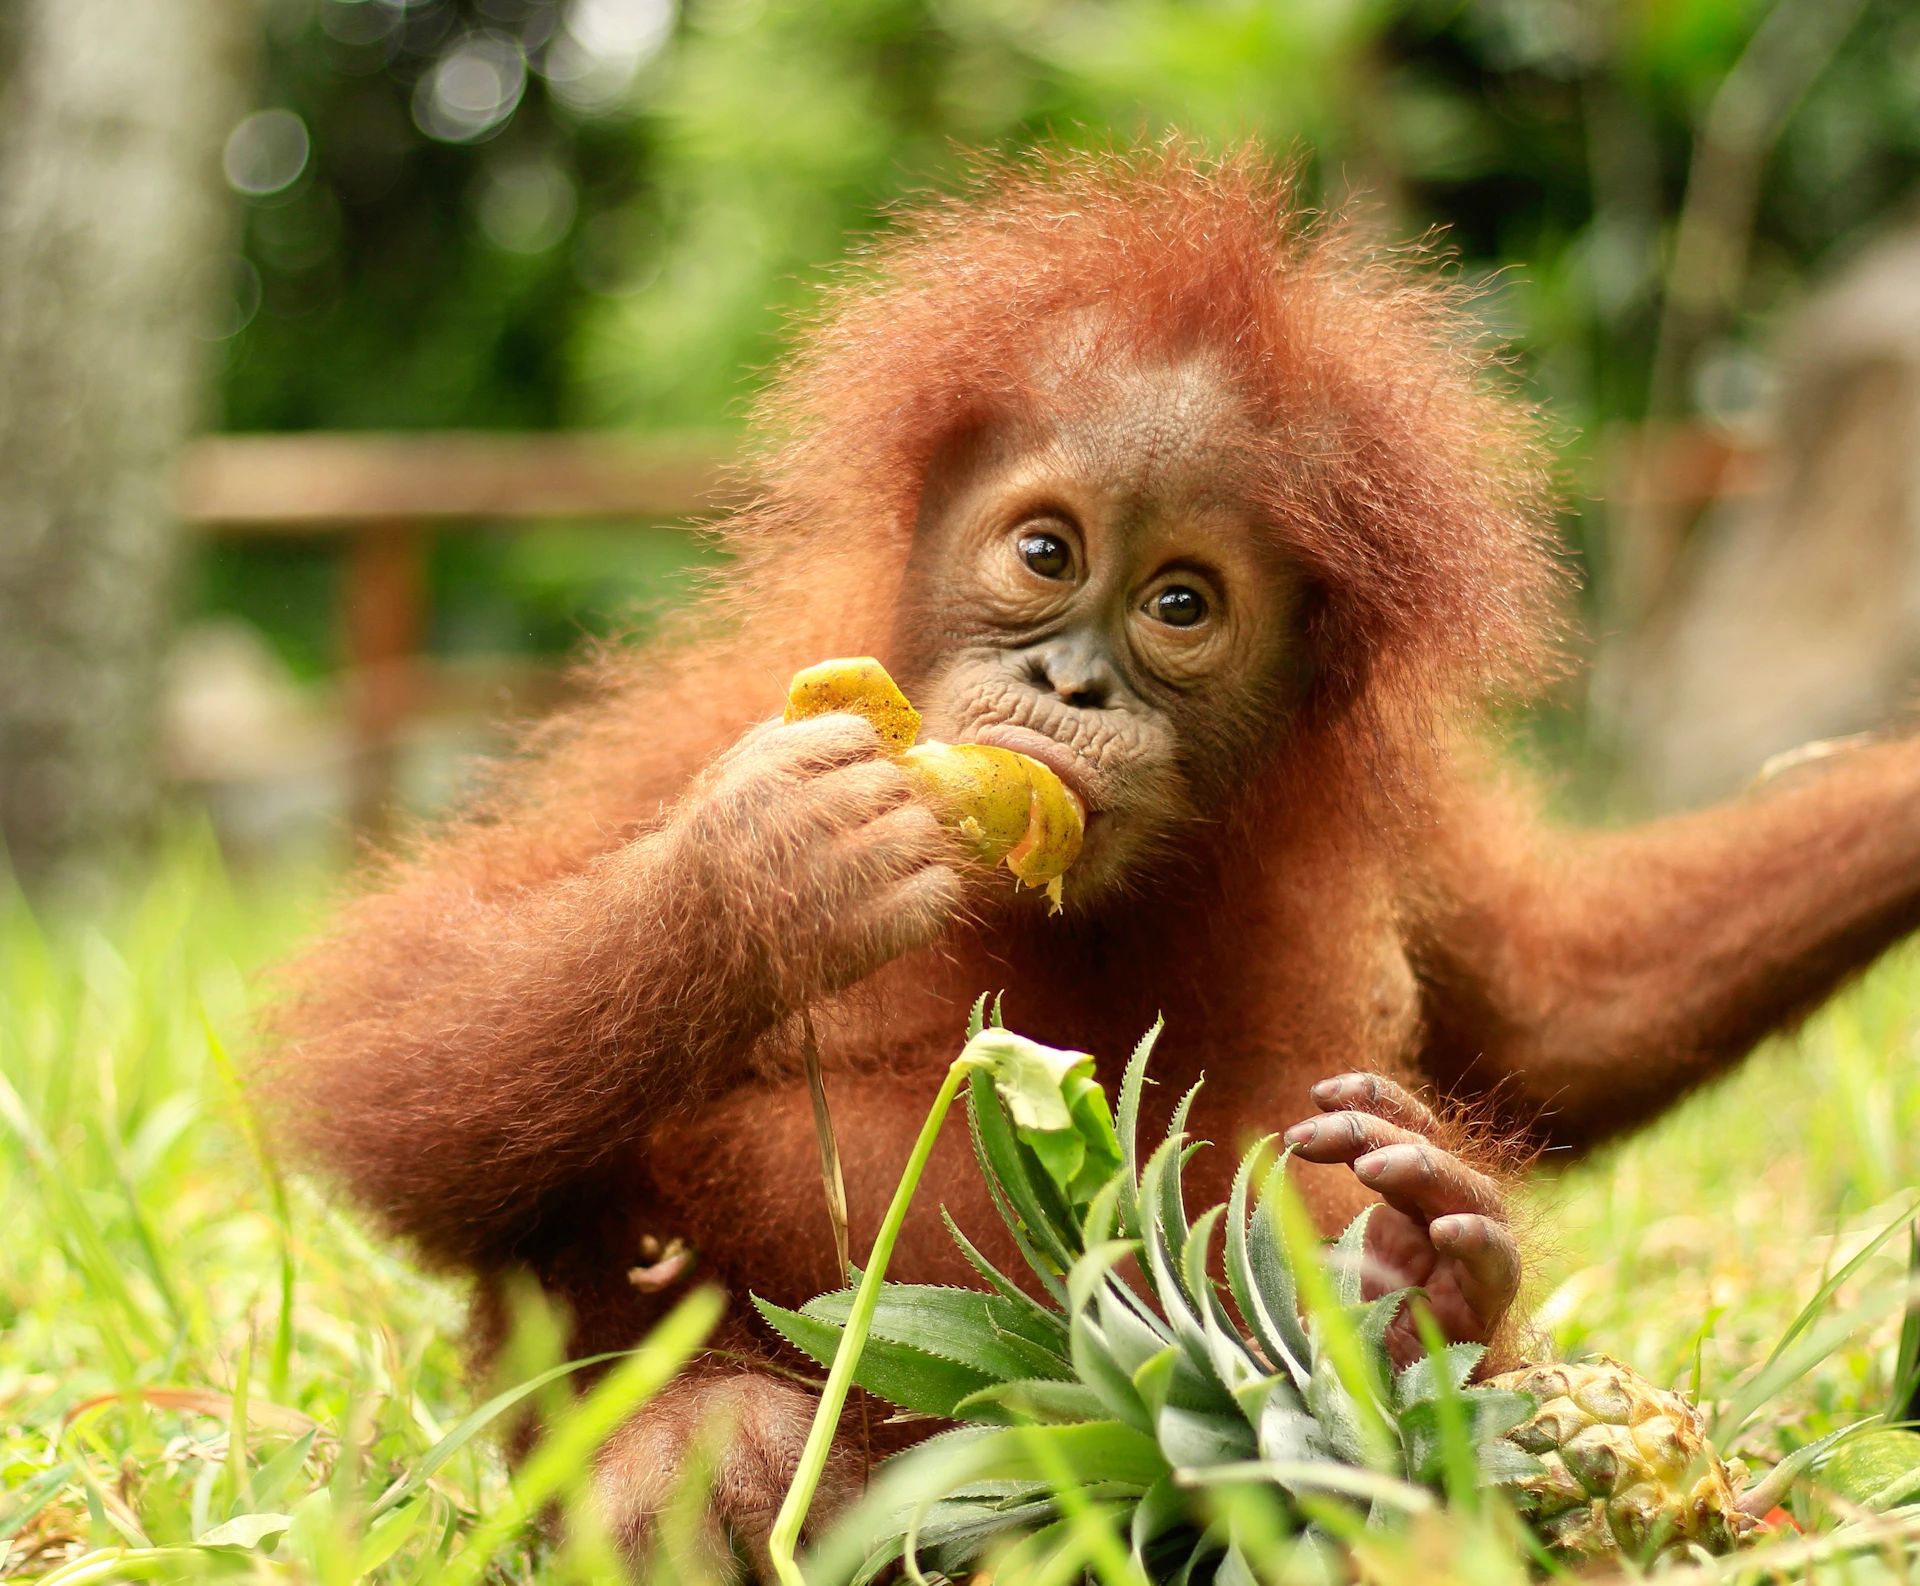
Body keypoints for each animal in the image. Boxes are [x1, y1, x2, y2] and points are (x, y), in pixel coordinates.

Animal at [261, 144, 1920, 1573]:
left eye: (1180, 602)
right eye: (1046, 553)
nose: (1070, 685)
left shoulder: (1402, 801)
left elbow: (1555, 1010)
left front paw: (1421, 1251)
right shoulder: (693, 722)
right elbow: (388, 1051)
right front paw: (763, 872)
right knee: (721, 1444)